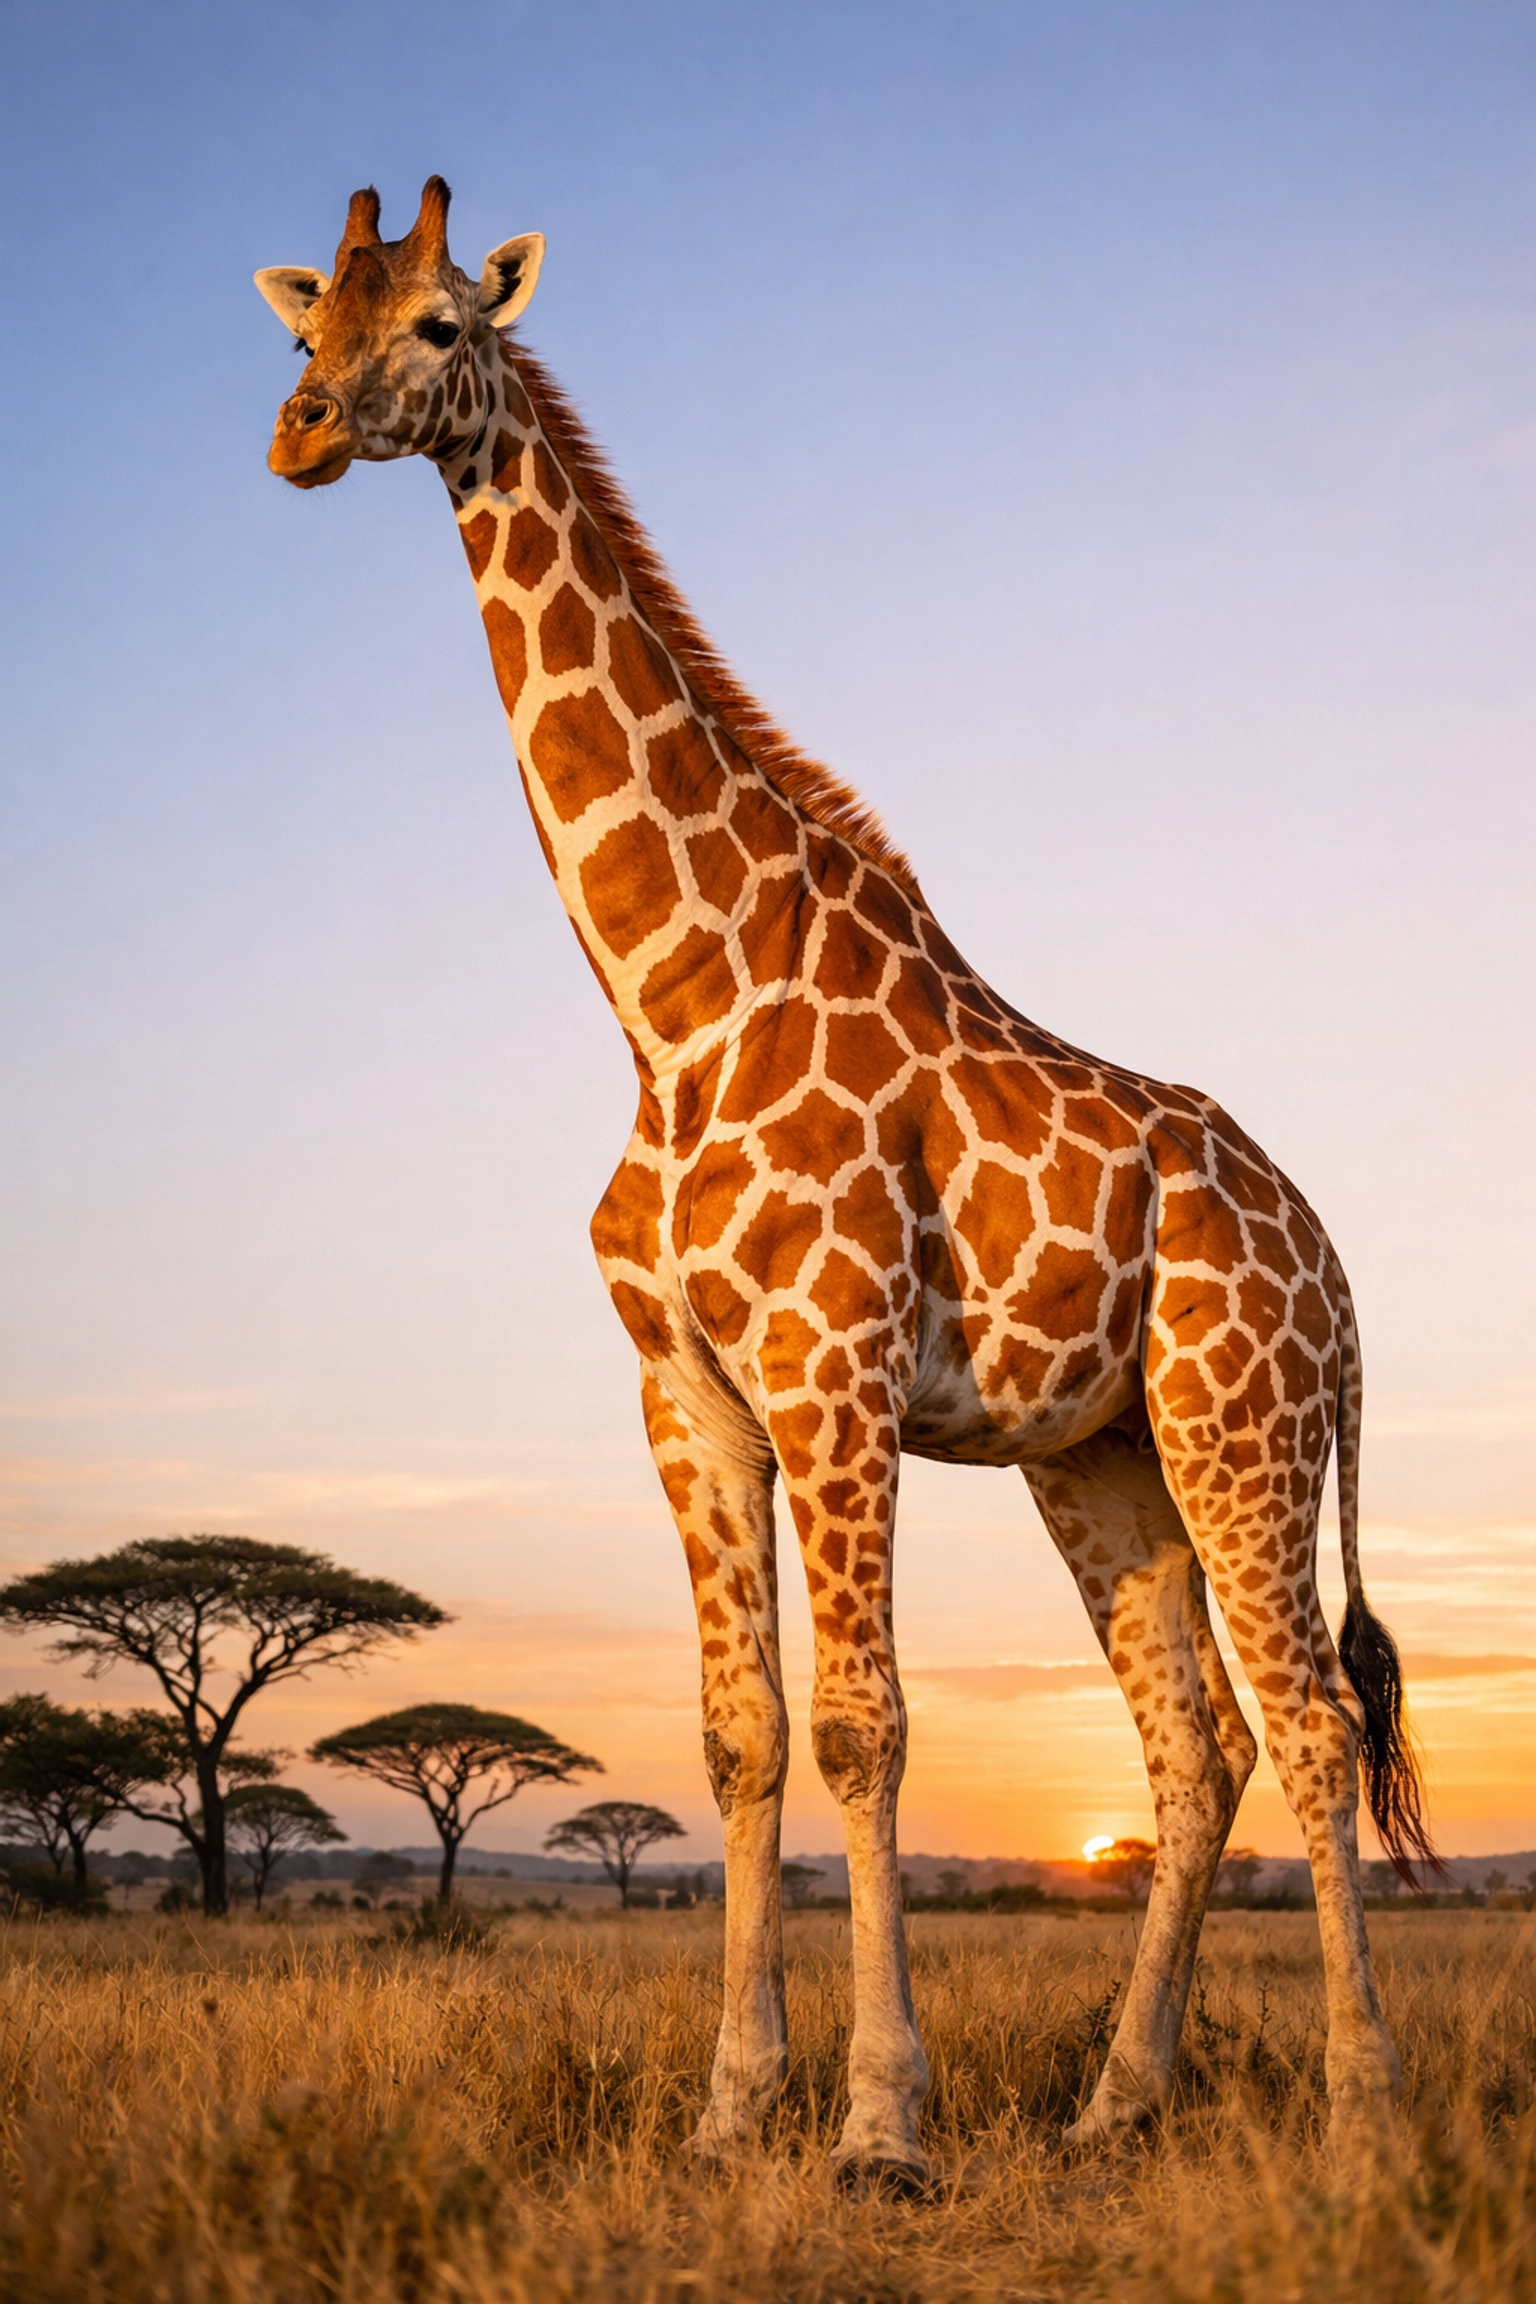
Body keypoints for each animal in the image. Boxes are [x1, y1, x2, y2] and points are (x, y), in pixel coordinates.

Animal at [257, 179, 1435, 2184]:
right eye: (299, 327)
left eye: (437, 324)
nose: (303, 433)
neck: (673, 1002)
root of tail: (1337, 1268)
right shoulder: (687, 1393)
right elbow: (742, 1732)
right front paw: (736, 2108)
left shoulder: (833, 1373)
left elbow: (868, 1726)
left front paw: (883, 2120)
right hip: (1100, 1454)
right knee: (1192, 1744)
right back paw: (1116, 2105)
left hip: (1244, 1423)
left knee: (1310, 1717)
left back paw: (1363, 2105)